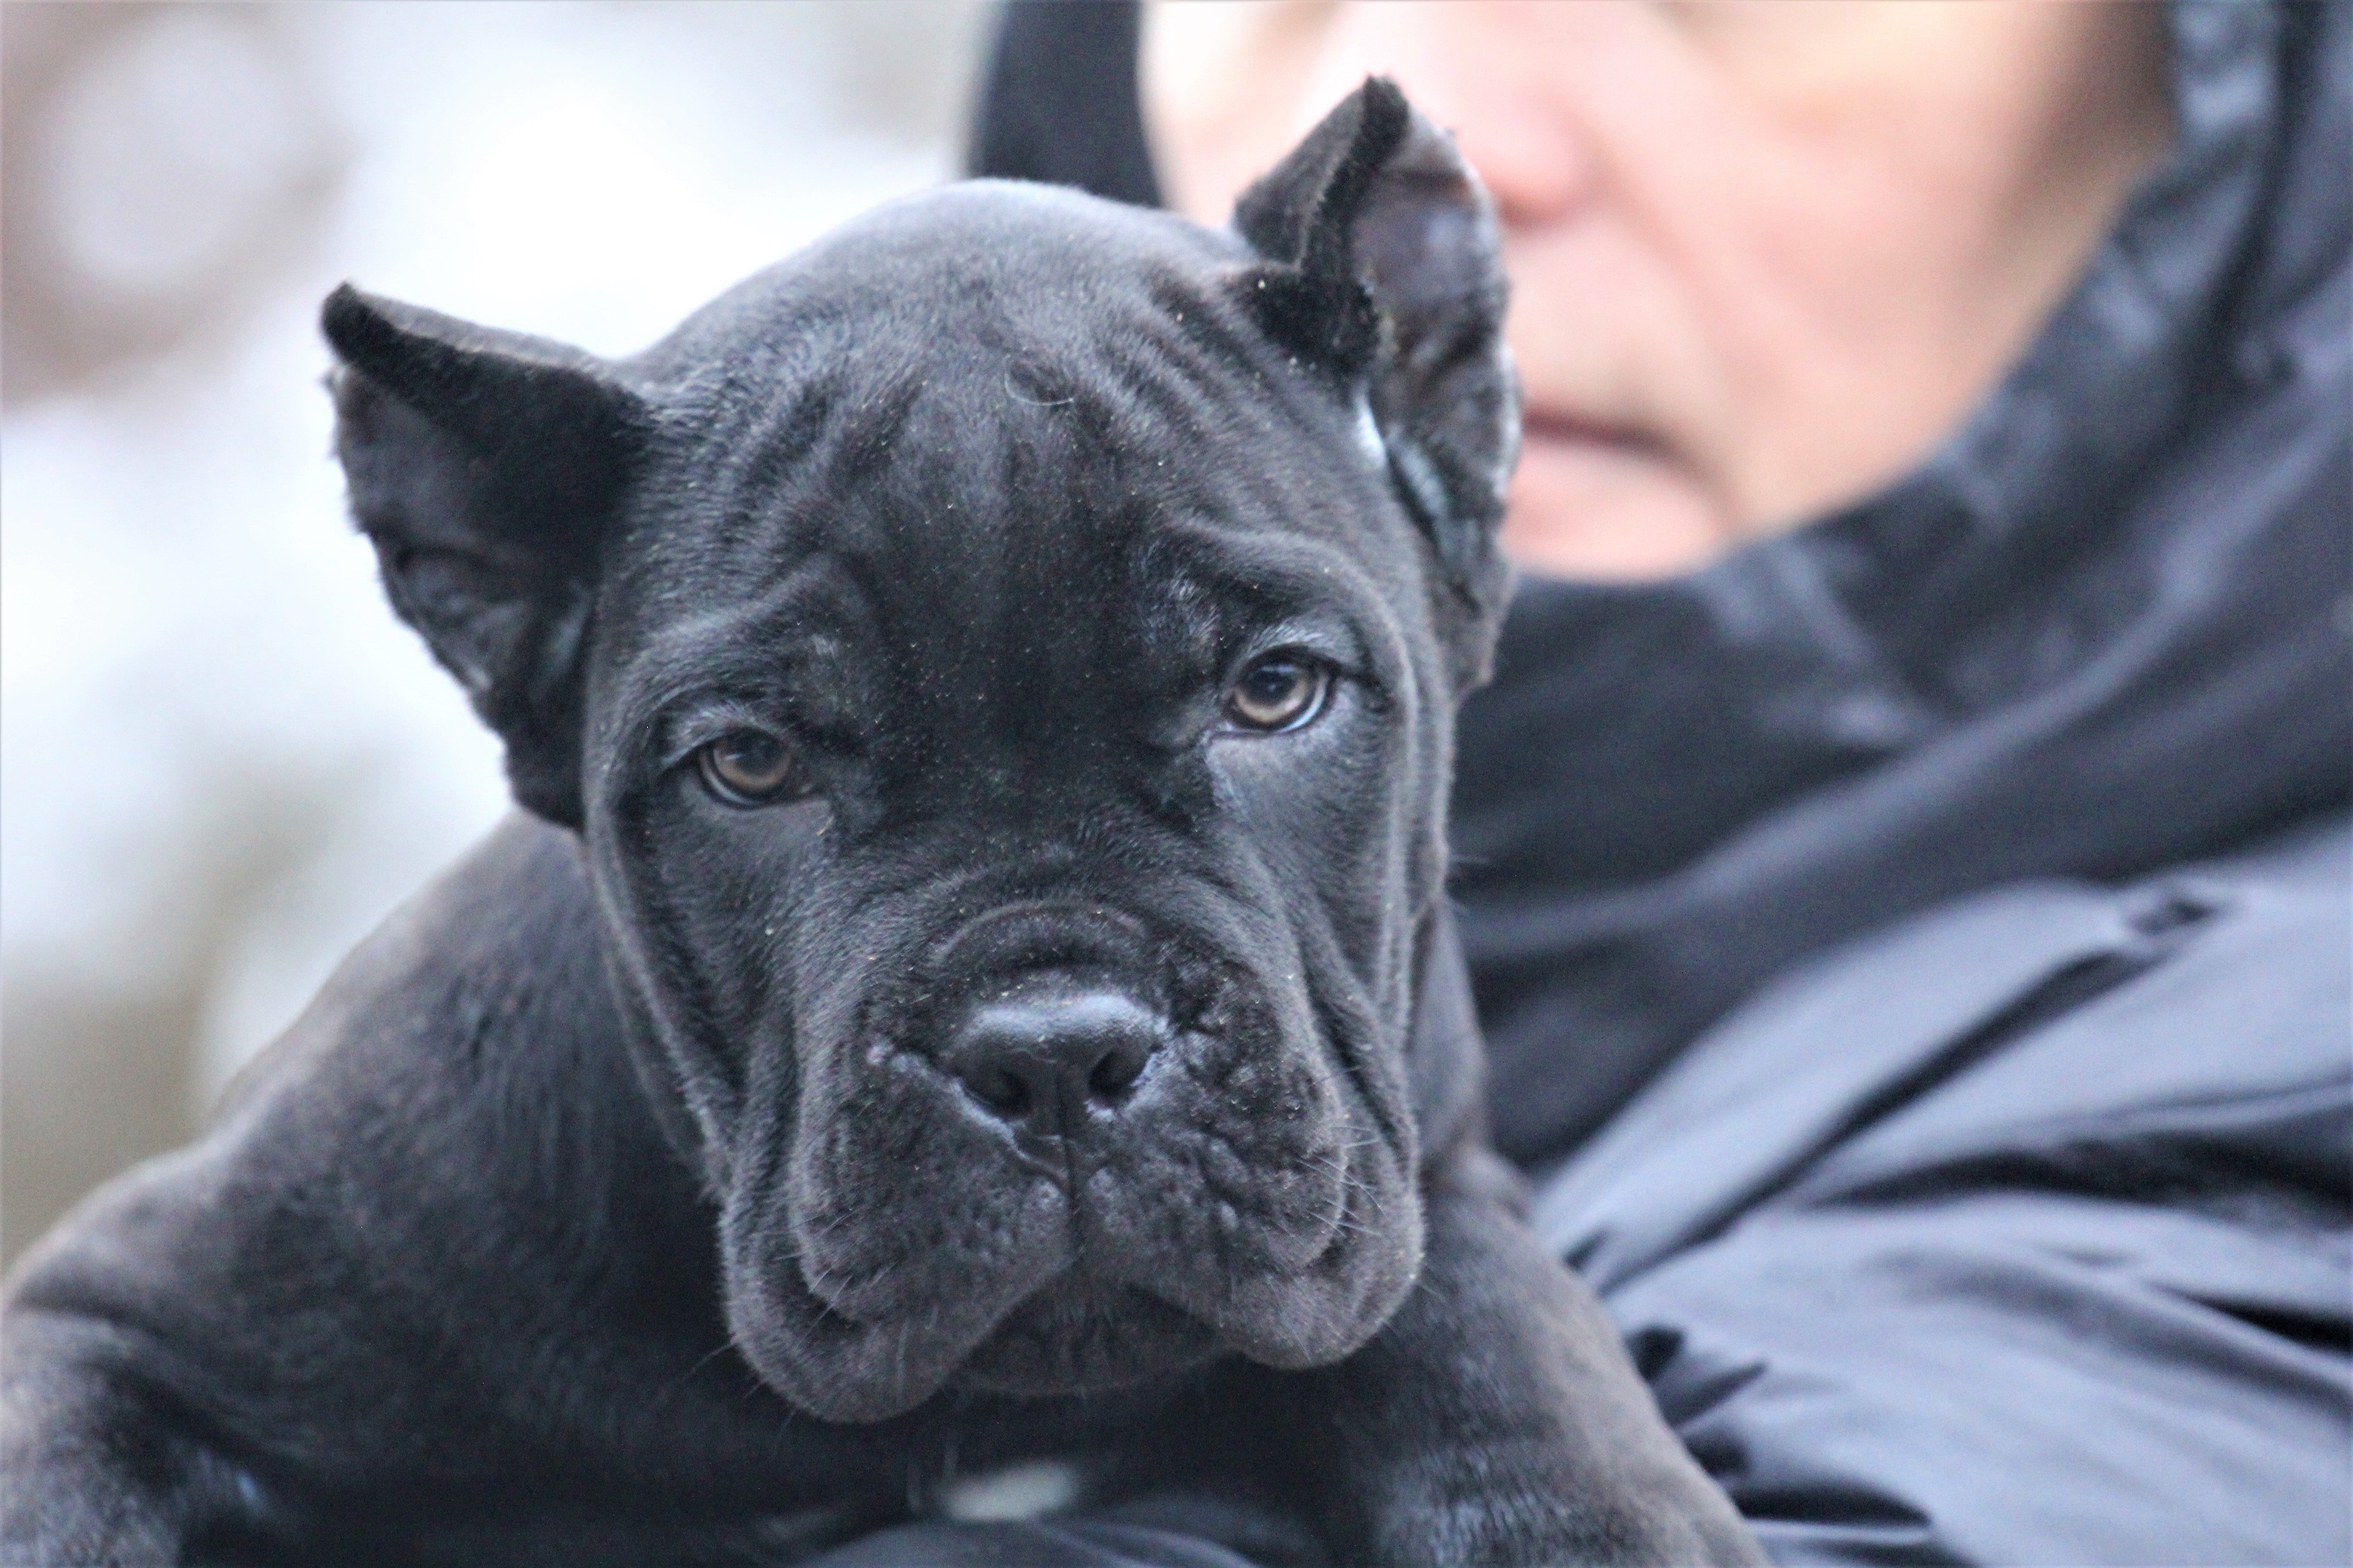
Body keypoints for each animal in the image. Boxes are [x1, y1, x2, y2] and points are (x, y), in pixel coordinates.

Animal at [5, 83, 1769, 1568]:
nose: (1054, 1052)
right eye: (751, 767)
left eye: (1274, 692)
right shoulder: (112, 1324)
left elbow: (1501, 1355)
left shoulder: (1433, 1165)